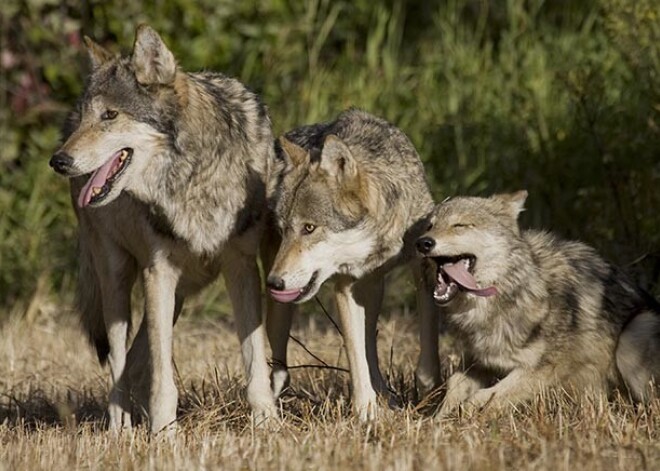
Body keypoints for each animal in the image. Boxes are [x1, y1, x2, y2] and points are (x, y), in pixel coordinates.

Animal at [266, 110, 440, 420]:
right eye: (284, 229)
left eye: (309, 228)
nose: (274, 282)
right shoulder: (344, 286)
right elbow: (355, 355)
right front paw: (365, 412)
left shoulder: (425, 264)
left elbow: (428, 342)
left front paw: (429, 393)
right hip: (284, 306)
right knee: (279, 366)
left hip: (373, 290)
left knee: (370, 343)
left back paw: (387, 396)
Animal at [416, 190, 660, 414]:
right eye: (430, 226)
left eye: (460, 225)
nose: (423, 243)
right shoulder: (479, 360)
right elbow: (454, 386)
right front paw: (438, 420)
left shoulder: (544, 367)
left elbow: (489, 395)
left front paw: (468, 414)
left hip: (634, 335)